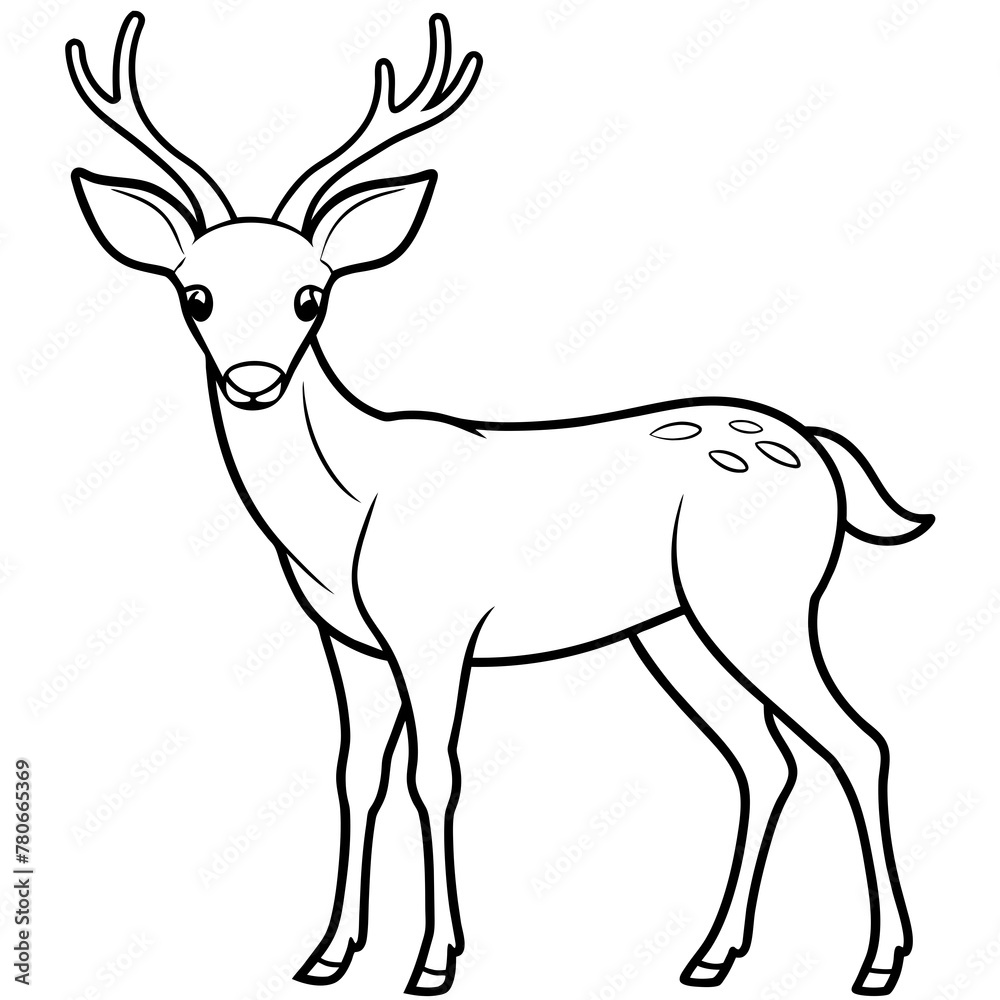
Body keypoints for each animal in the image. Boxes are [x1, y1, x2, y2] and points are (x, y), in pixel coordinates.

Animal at [66, 11, 932, 997]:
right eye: (196, 296)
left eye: (311, 297)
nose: (254, 381)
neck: (343, 516)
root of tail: (821, 451)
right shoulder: (347, 642)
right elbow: (355, 775)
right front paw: (327, 954)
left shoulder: (436, 633)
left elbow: (433, 776)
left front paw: (434, 961)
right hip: (673, 626)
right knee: (763, 755)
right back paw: (712, 954)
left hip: (763, 598)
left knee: (858, 741)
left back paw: (879, 961)